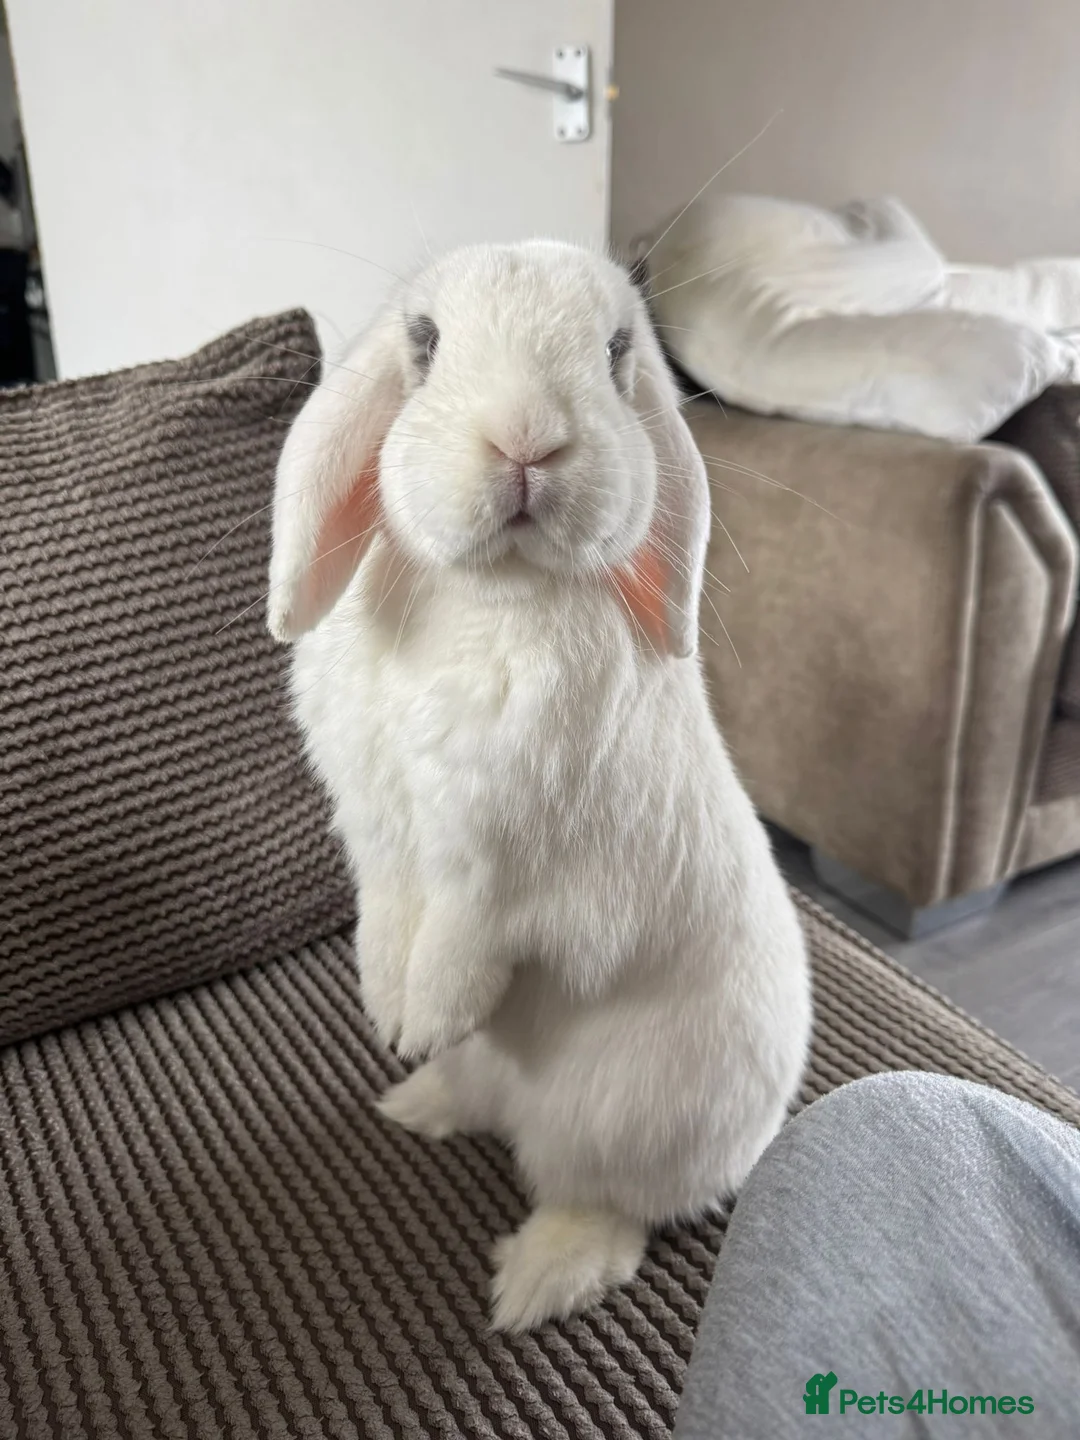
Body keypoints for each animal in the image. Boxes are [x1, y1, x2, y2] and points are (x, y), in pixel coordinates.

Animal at [267, 240, 812, 1332]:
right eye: (425, 341)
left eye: (614, 352)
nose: (526, 440)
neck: (487, 590)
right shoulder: (382, 837)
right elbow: (389, 913)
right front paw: (390, 1012)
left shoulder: (511, 871)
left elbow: (469, 935)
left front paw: (424, 1015)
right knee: (486, 1104)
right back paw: (419, 1099)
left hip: (619, 1124)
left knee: (610, 1207)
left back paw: (532, 1281)